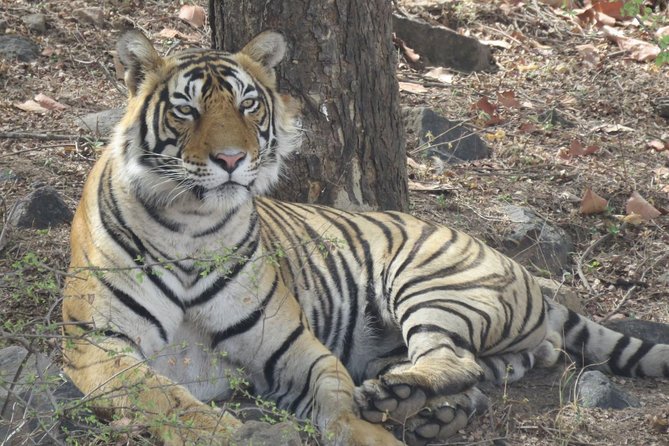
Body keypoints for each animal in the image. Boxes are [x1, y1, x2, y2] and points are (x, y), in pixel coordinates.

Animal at [62, 29, 669, 446]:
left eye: (248, 105)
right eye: (186, 110)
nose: (232, 160)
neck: (194, 225)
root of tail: (518, 268)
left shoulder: (291, 344)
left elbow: (335, 396)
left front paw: (365, 430)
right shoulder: (98, 347)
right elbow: (169, 399)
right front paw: (226, 430)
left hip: (433, 286)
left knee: (457, 359)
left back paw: (401, 399)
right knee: (487, 369)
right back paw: (424, 410)